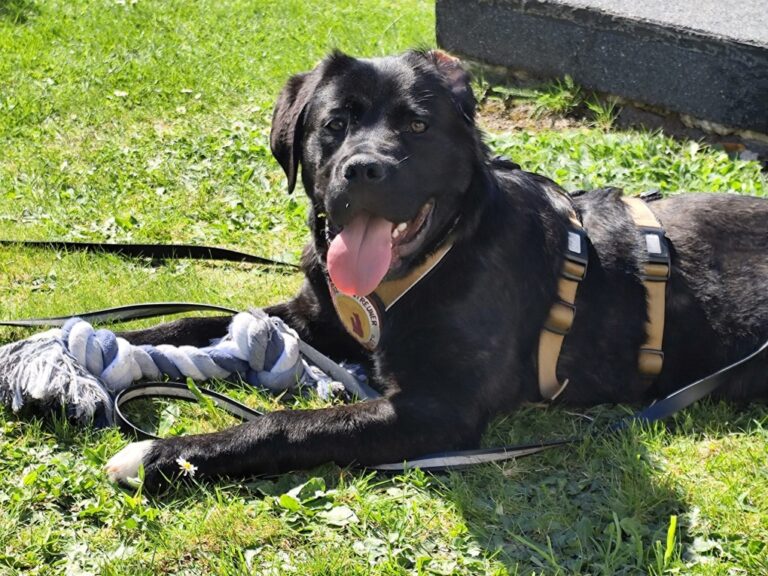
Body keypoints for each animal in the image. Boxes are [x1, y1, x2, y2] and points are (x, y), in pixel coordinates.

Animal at [106, 50, 768, 489]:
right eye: (334, 125)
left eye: (417, 125)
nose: (363, 170)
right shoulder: (312, 315)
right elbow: (187, 325)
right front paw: (104, 344)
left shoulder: (437, 407)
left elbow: (292, 425)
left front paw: (166, 454)